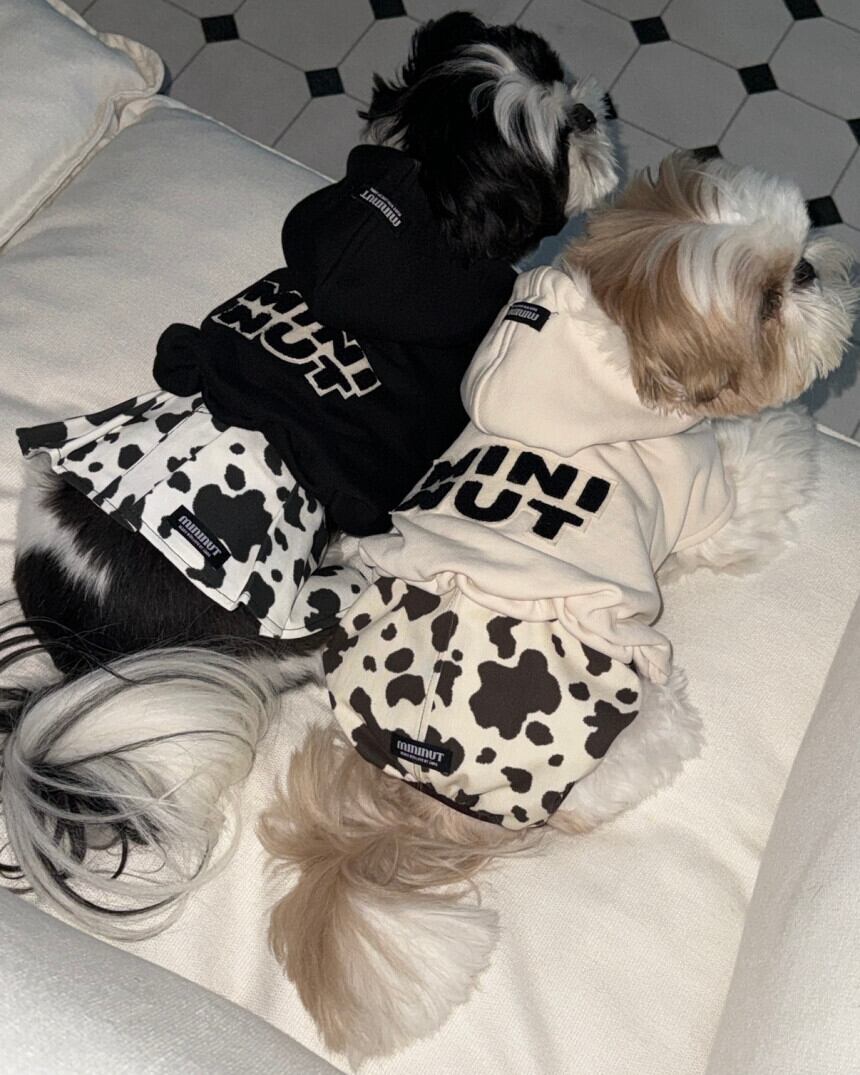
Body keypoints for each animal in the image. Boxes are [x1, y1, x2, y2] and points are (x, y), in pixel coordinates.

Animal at [0, 12, 617, 932]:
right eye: (559, 144)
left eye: (554, 68)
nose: (590, 109)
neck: (411, 202)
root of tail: (90, 647)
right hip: (291, 619)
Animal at [258, 153, 859, 1063]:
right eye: (768, 300)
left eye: (798, 244)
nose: (815, 268)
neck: (598, 340)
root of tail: (415, 788)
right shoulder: (701, 490)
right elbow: (752, 477)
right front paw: (782, 431)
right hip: (631, 711)